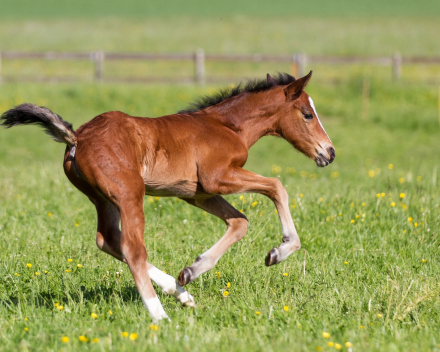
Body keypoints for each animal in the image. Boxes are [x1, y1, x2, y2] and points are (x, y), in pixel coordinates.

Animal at [1, 71, 336, 322]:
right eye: (307, 114)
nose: (329, 153)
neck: (228, 126)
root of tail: (77, 138)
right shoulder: (218, 178)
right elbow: (277, 186)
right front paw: (281, 251)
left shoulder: (198, 194)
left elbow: (239, 222)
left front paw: (191, 271)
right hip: (129, 193)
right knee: (132, 248)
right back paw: (160, 315)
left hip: (103, 199)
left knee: (108, 239)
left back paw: (181, 293)